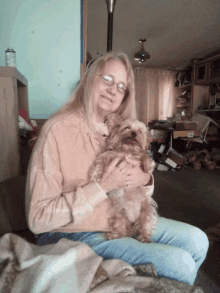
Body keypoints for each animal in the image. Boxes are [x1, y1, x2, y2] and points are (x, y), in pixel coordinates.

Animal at [88, 113, 159, 241]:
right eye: (127, 128)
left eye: (139, 131)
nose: (133, 133)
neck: (127, 150)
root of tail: (132, 220)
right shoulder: (109, 155)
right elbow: (100, 160)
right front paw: (96, 174)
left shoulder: (138, 156)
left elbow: (145, 155)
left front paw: (148, 166)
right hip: (118, 214)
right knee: (120, 228)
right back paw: (113, 235)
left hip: (147, 211)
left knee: (145, 225)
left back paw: (145, 238)